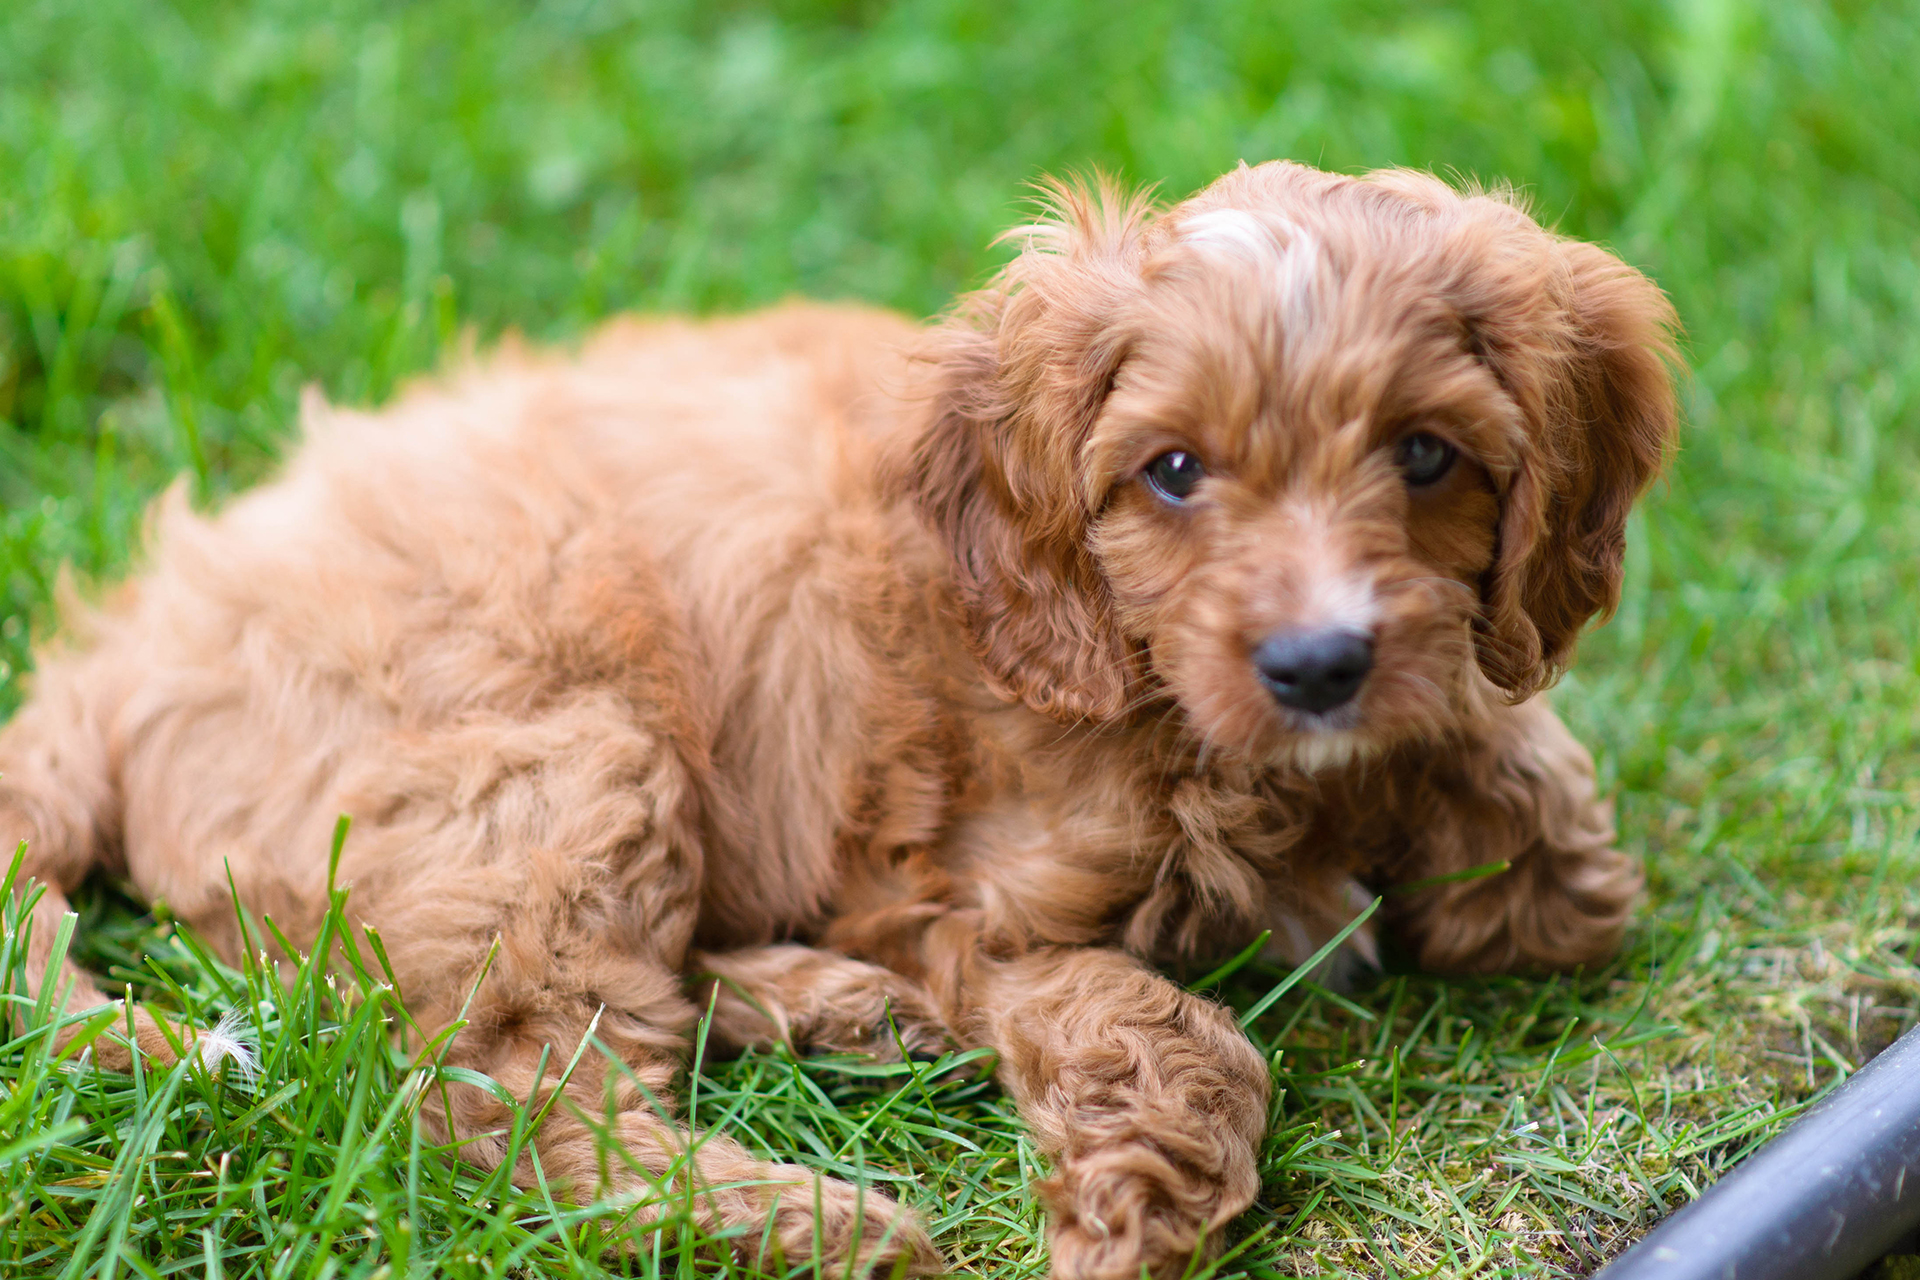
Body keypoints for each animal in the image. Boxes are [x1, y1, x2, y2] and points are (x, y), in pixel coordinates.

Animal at [3, 163, 1681, 1280]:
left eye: (1427, 456)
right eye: (1173, 473)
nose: (1323, 665)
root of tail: (118, 648)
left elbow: (1560, 860)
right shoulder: (958, 897)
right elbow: (1166, 1023)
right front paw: (1135, 1206)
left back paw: (841, 1019)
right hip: (560, 748)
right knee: (502, 1086)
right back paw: (814, 1217)